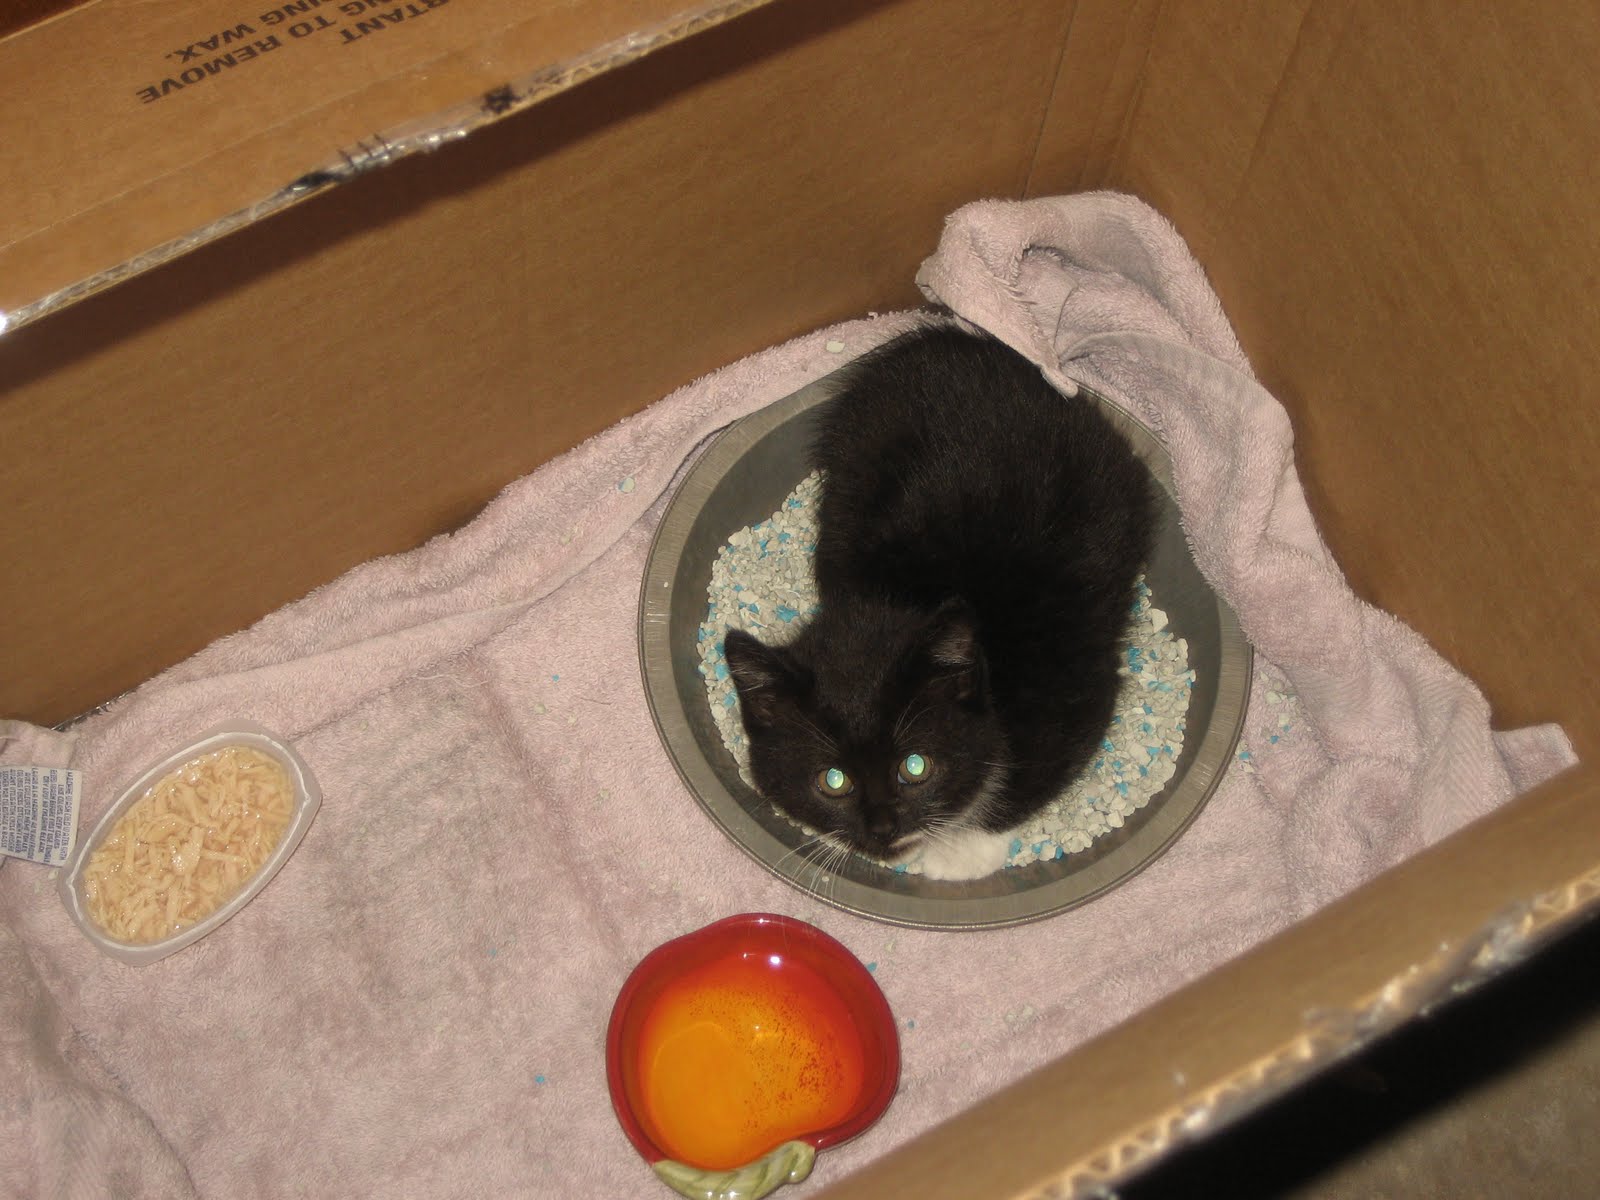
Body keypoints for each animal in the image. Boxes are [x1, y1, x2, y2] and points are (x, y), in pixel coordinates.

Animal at [723, 321, 1158, 881]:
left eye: (915, 767)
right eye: (832, 781)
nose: (884, 829)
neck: (906, 599)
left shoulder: (1074, 686)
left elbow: (1033, 773)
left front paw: (962, 852)